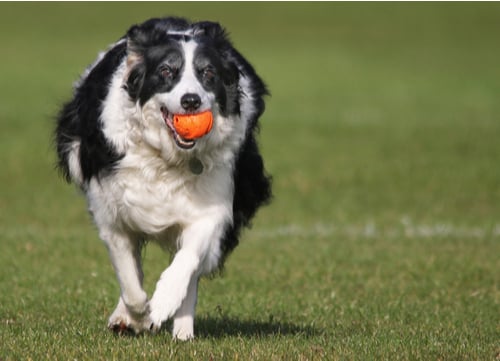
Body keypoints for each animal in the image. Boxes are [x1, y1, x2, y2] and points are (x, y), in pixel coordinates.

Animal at [55, 16, 272, 338]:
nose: (191, 101)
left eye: (208, 73)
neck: (167, 157)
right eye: (166, 71)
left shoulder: (215, 205)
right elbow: (130, 279)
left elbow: (189, 258)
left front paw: (163, 303)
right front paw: (137, 316)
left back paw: (182, 331)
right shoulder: (111, 212)